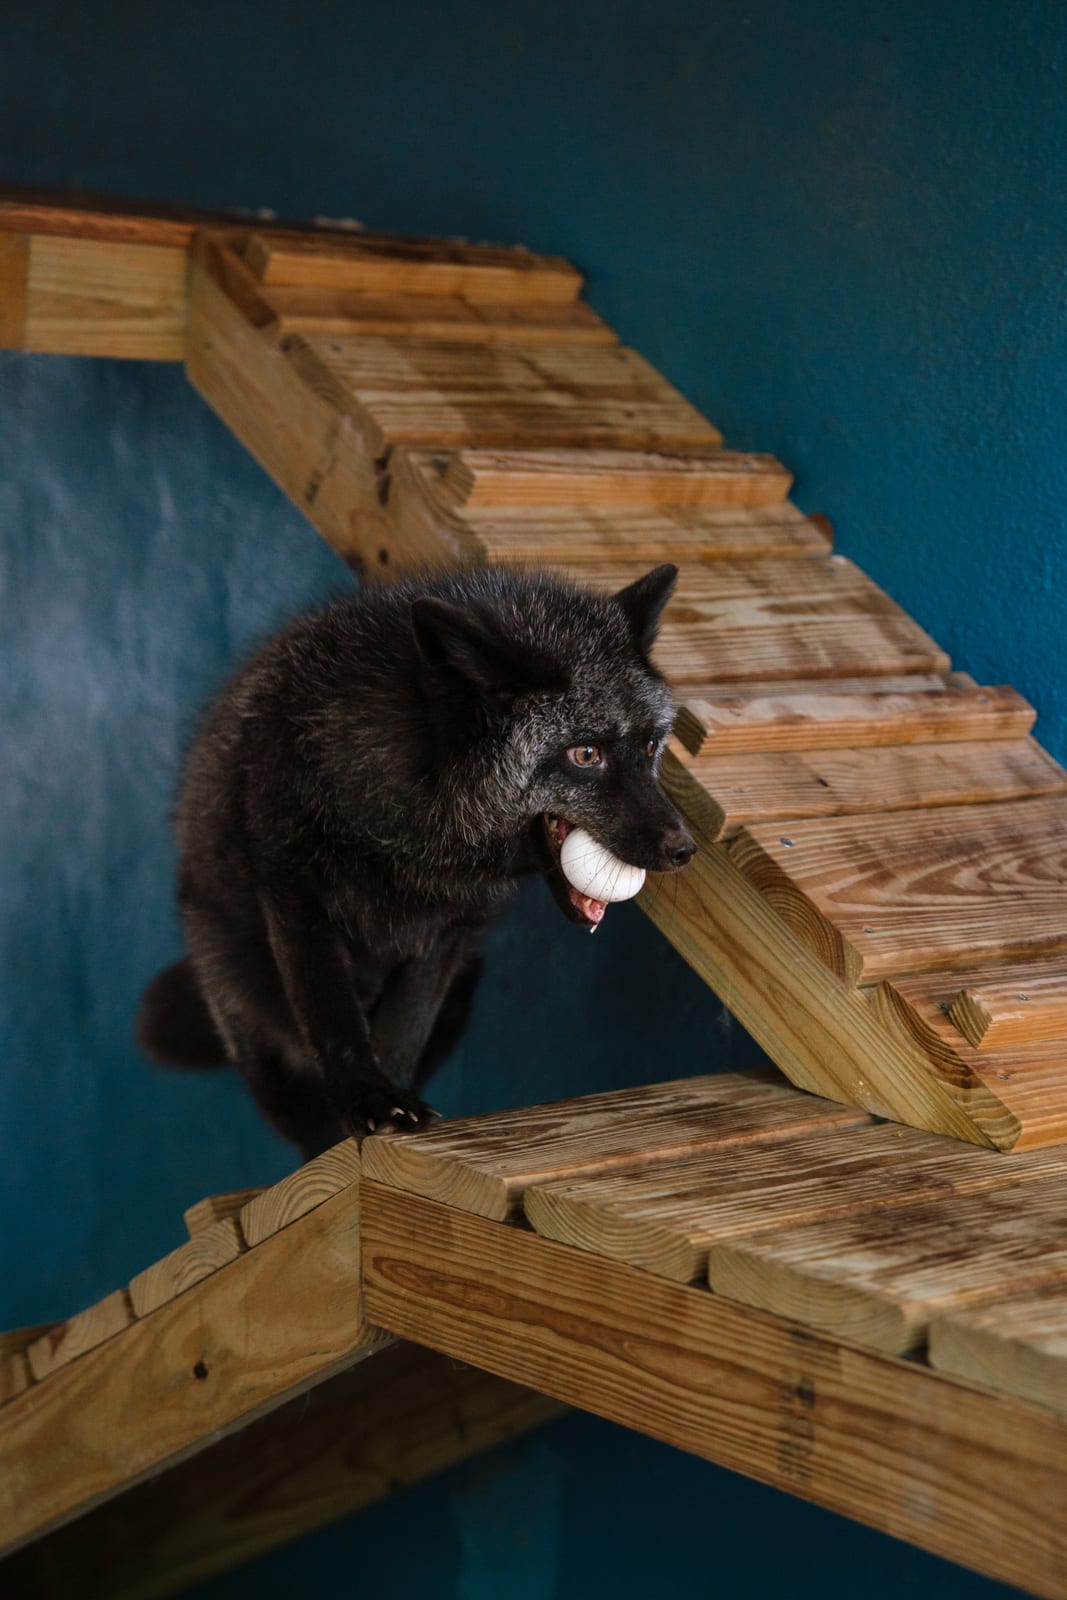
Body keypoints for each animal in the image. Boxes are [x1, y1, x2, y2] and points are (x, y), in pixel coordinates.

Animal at [136, 562, 696, 1156]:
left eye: (651, 746)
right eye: (586, 755)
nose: (684, 849)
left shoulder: (448, 934)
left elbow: (404, 1031)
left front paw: (390, 1115)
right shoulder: (295, 899)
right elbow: (336, 1022)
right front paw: (371, 1103)